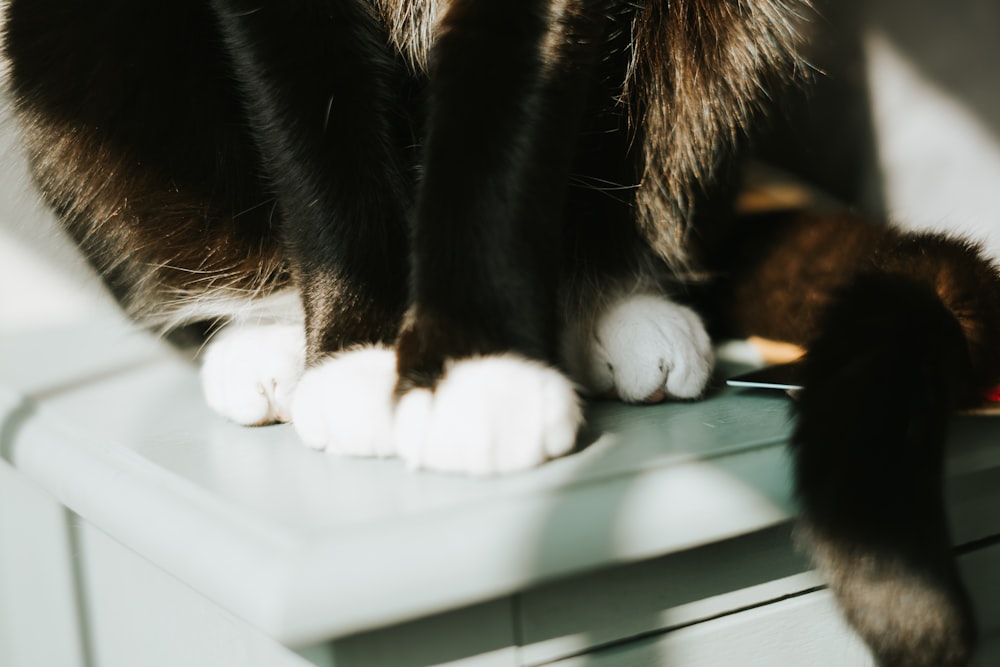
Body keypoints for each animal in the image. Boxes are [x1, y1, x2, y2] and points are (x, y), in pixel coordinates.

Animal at [1, 1, 1000, 667]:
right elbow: (313, 140)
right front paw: (359, 356)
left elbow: (502, 131)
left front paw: (482, 372)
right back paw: (266, 337)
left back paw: (615, 306)